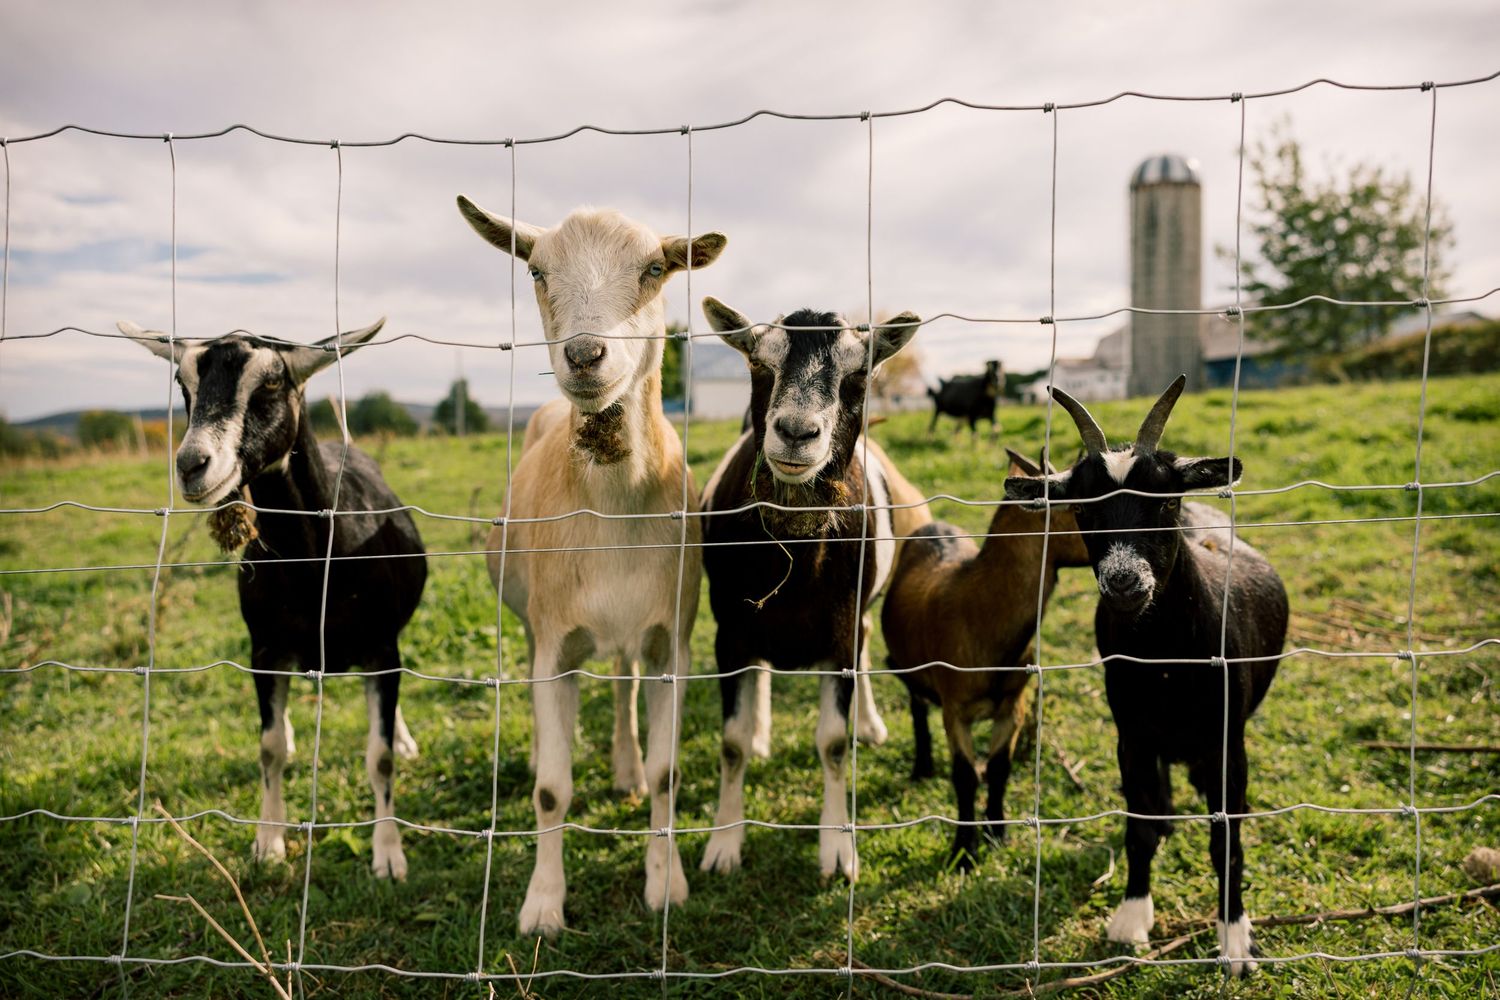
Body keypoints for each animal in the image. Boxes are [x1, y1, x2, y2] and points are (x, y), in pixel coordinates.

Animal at [125, 318, 426, 880]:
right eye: (183, 385)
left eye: (269, 383)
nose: (192, 466)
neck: (315, 567)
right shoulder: (264, 649)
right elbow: (269, 749)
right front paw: (269, 841)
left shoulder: (380, 646)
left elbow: (379, 756)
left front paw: (388, 853)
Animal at [456, 197, 726, 936]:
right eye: (537, 270)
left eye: (655, 269)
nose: (584, 355)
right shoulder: (555, 643)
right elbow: (553, 788)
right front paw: (543, 905)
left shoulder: (673, 642)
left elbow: (668, 774)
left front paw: (666, 884)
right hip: (532, 620)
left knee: (625, 683)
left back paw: (625, 767)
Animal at [697, 298, 928, 881]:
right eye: (759, 364)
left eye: (858, 374)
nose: (797, 433)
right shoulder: (729, 633)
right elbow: (730, 743)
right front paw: (723, 843)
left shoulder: (839, 635)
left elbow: (832, 743)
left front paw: (838, 849)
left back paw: (870, 724)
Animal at [882, 448, 1091, 869]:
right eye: (1082, 505)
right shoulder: (955, 708)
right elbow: (965, 776)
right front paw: (964, 852)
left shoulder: (1013, 705)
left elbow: (998, 769)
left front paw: (998, 831)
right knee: (915, 703)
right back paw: (922, 767)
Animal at [1004, 375, 1288, 976]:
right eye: (1081, 511)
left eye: (1166, 500)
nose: (1124, 582)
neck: (1165, 664)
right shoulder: (1130, 736)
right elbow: (1136, 827)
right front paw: (1133, 915)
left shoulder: (1227, 742)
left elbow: (1226, 840)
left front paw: (1236, 939)